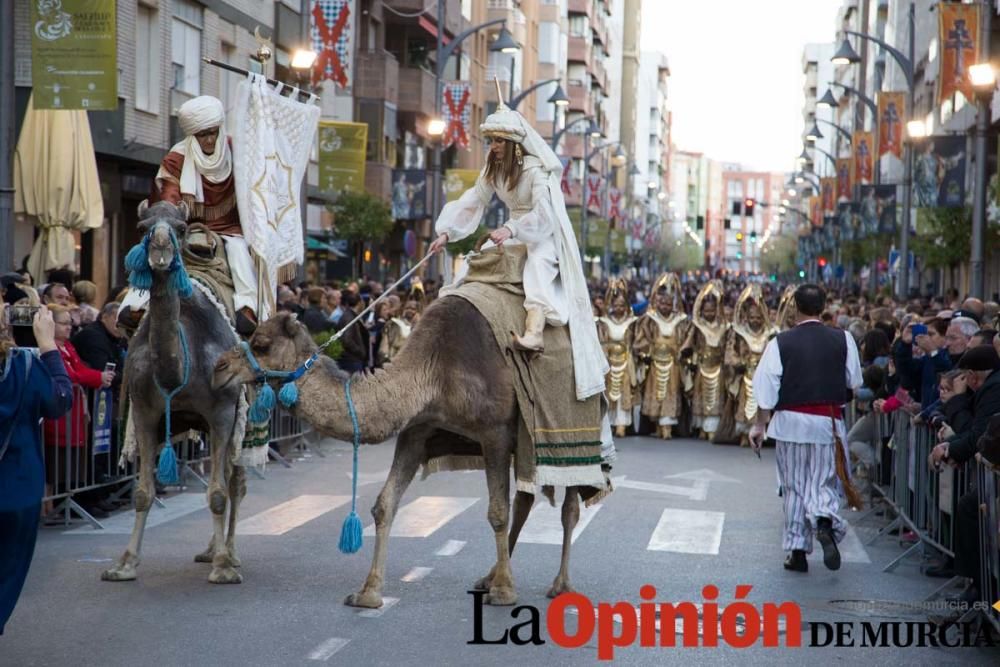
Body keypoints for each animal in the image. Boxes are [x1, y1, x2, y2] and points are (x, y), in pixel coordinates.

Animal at [102, 202, 247, 584]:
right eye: (143, 227)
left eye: (181, 228)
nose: (161, 251)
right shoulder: (145, 413)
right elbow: (142, 493)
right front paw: (124, 564)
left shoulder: (223, 413)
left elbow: (218, 493)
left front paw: (223, 568)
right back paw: (211, 549)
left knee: (235, 481)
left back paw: (231, 553)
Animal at [213, 300, 584, 608]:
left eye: (261, 344)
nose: (218, 367)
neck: (435, 372)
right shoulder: (417, 431)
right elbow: (384, 505)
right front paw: (368, 592)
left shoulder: (495, 432)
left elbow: (497, 512)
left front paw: (505, 592)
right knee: (526, 499)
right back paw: (488, 577)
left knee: (568, 506)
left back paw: (559, 584)